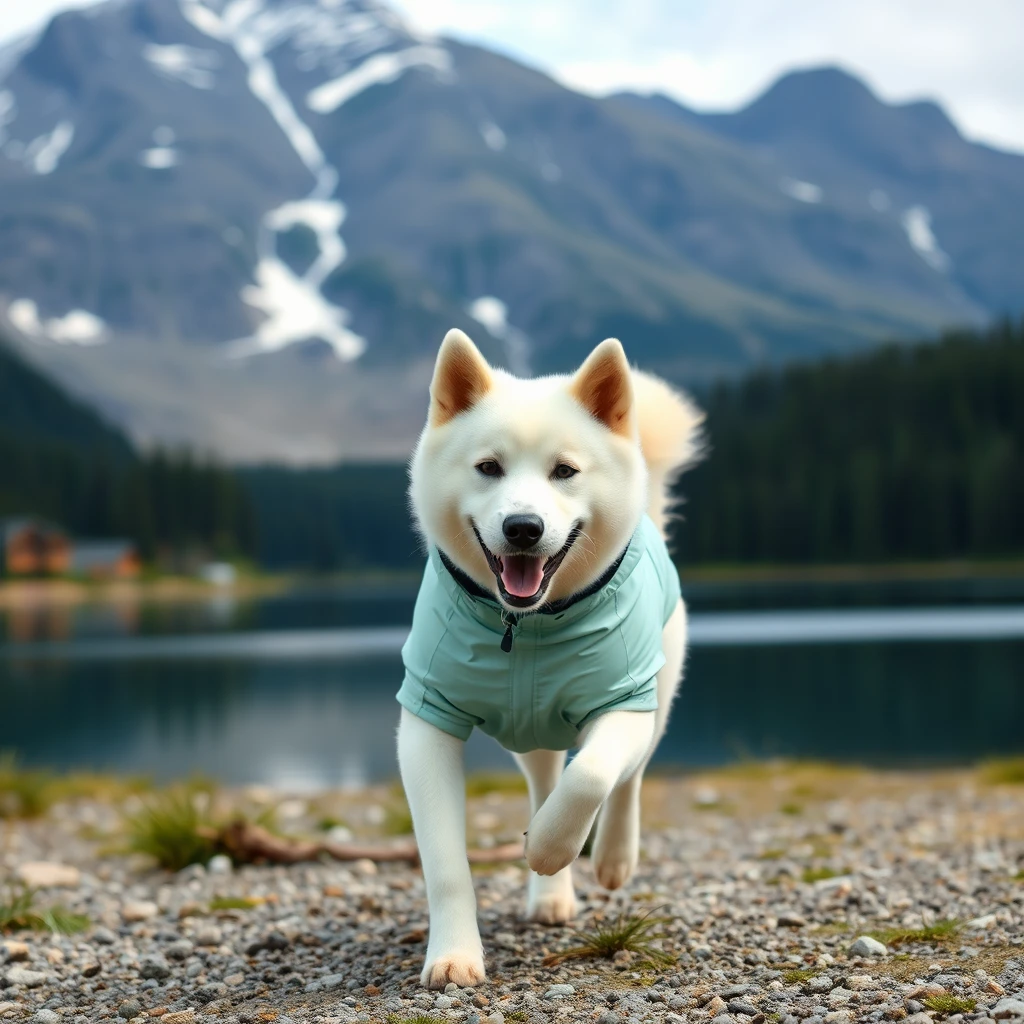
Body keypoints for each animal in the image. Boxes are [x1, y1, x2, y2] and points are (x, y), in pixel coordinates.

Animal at [397, 327, 704, 983]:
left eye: (565, 470)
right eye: (488, 468)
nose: (523, 527)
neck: (527, 628)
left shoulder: (624, 702)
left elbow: (591, 775)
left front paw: (548, 847)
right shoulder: (427, 720)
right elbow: (445, 864)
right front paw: (455, 956)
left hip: (658, 698)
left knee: (629, 778)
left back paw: (609, 855)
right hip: (532, 739)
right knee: (544, 783)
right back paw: (551, 890)